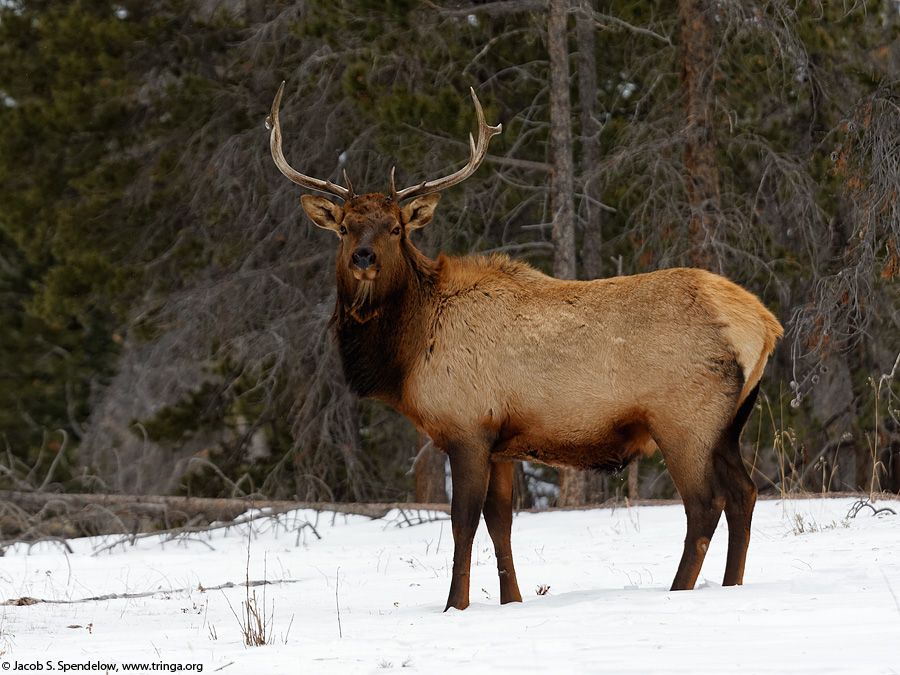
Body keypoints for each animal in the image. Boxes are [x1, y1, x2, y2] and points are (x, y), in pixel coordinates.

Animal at [266, 82, 780, 608]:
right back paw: (731, 584)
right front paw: (511, 599)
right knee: (745, 494)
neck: (407, 352)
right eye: (345, 227)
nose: (364, 257)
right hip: (729, 423)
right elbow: (501, 523)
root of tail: (764, 324)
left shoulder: (467, 427)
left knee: (705, 505)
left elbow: (463, 524)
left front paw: (455, 604)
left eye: (395, 228)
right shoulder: (502, 442)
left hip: (683, 420)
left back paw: (678, 591)